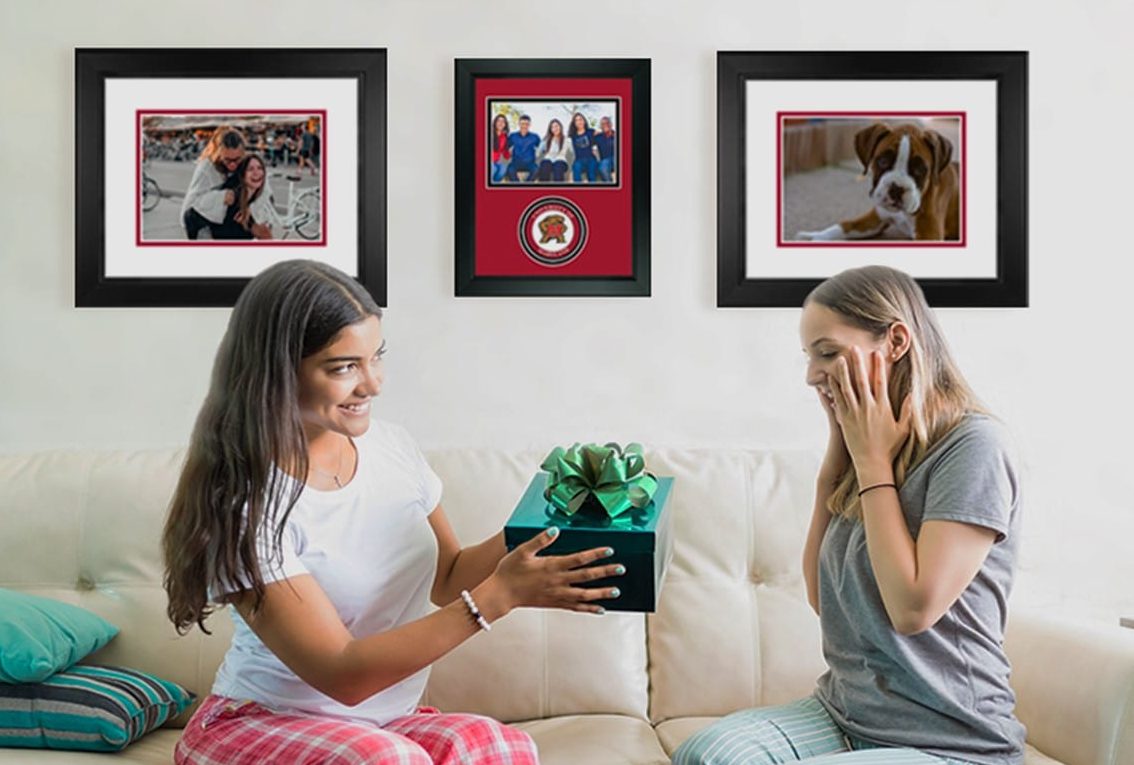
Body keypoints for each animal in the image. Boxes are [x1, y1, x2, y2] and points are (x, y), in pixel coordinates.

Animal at [798, 123, 957, 242]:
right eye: (883, 161)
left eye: (919, 169)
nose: (896, 188)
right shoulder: (873, 219)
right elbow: (843, 225)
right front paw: (814, 237)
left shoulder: (929, 234)